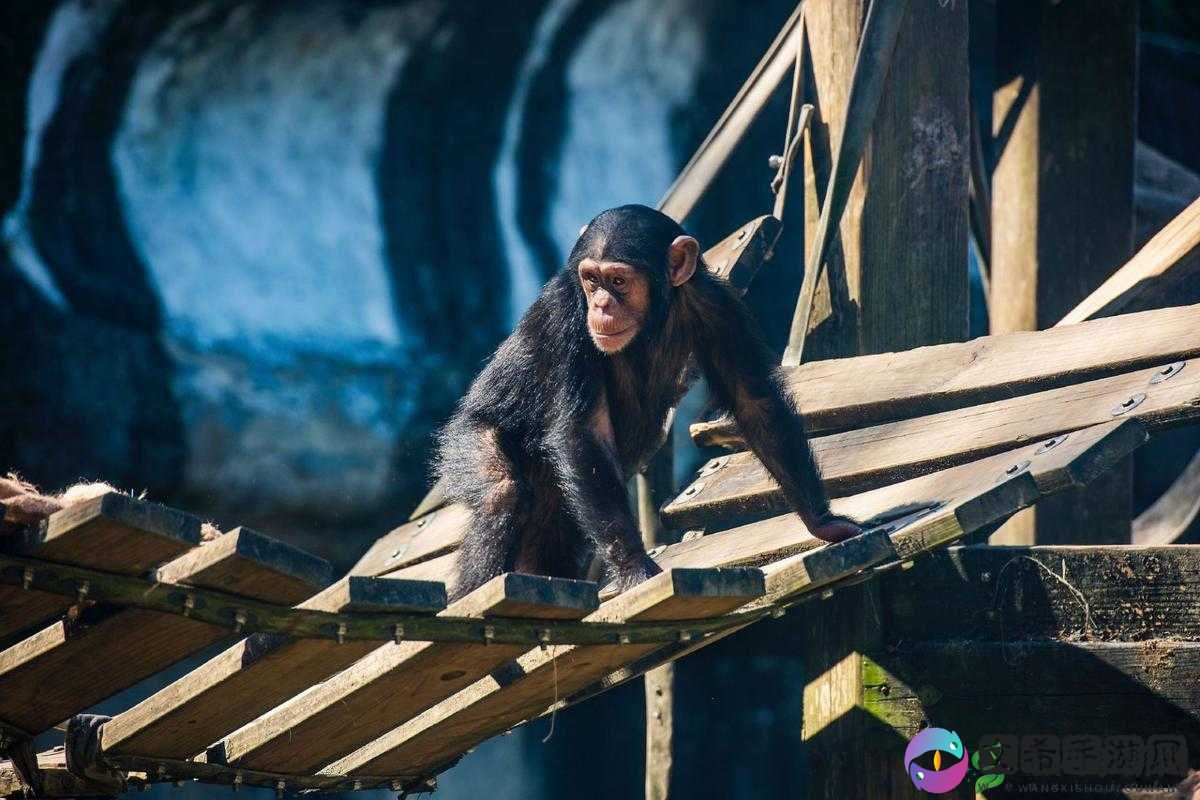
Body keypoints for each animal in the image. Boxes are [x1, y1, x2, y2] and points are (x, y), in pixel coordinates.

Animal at [436, 203, 859, 597]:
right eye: (591, 281)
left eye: (618, 280)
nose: (601, 305)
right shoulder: (563, 313)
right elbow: (583, 430)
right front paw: (634, 569)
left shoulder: (717, 304)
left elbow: (752, 399)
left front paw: (823, 521)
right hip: (465, 435)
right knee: (502, 493)